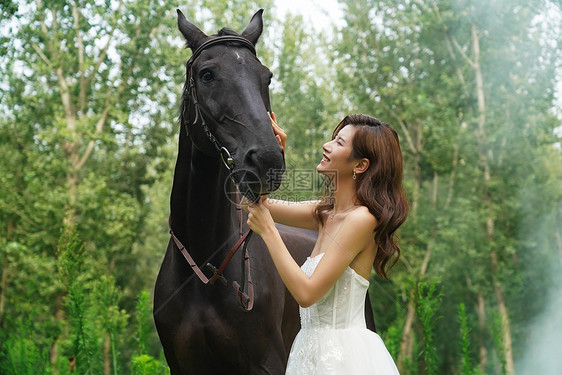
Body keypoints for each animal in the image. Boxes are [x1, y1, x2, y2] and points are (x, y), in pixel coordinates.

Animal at [153, 9, 372, 375]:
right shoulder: (182, 365)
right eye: (207, 74)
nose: (267, 160)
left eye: (266, 77)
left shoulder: (267, 362)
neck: (205, 269)